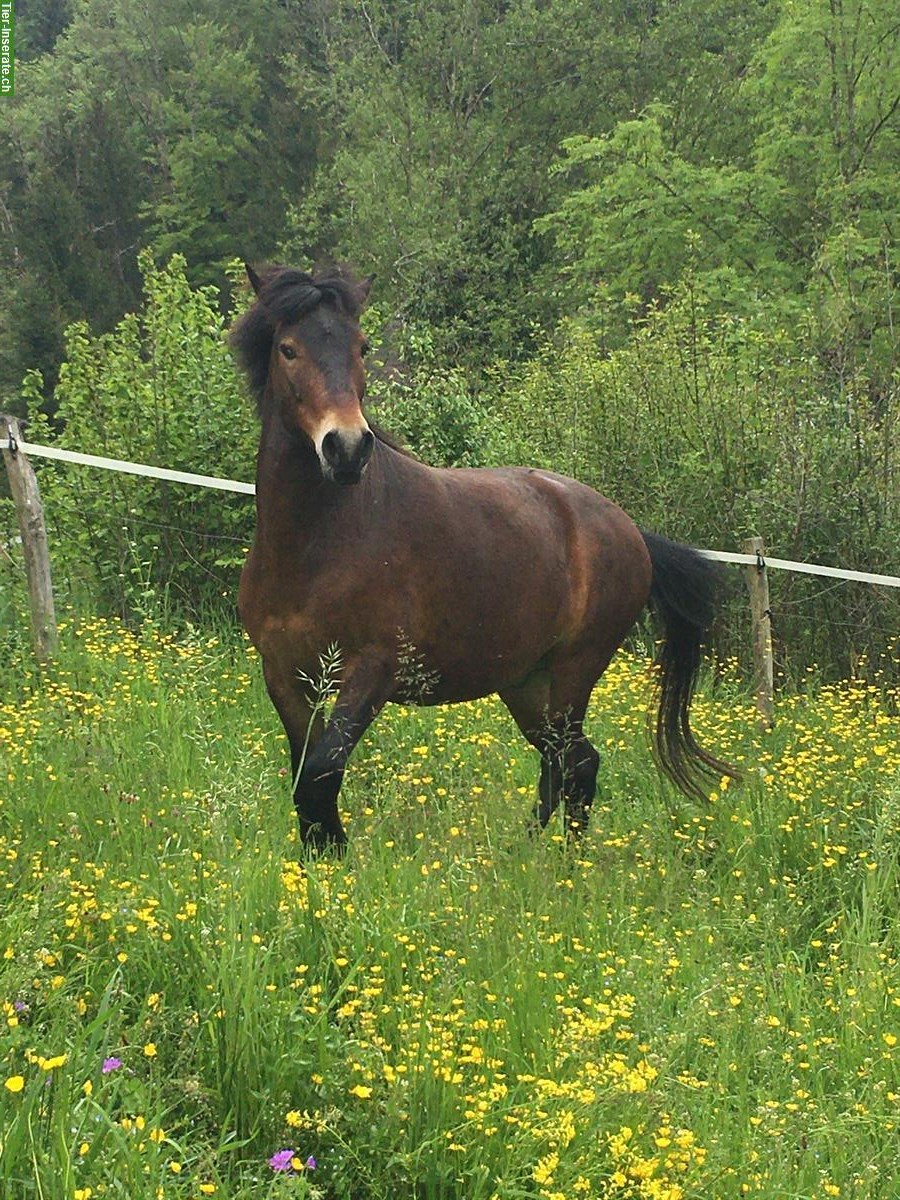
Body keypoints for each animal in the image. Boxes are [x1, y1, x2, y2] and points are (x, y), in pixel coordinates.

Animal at [232, 262, 739, 854]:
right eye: (288, 348)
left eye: (361, 347)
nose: (348, 448)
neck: (316, 546)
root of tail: (630, 530)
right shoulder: (286, 677)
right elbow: (305, 782)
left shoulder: (371, 672)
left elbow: (320, 775)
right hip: (525, 683)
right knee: (568, 761)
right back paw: (529, 852)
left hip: (573, 674)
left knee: (576, 764)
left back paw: (565, 863)